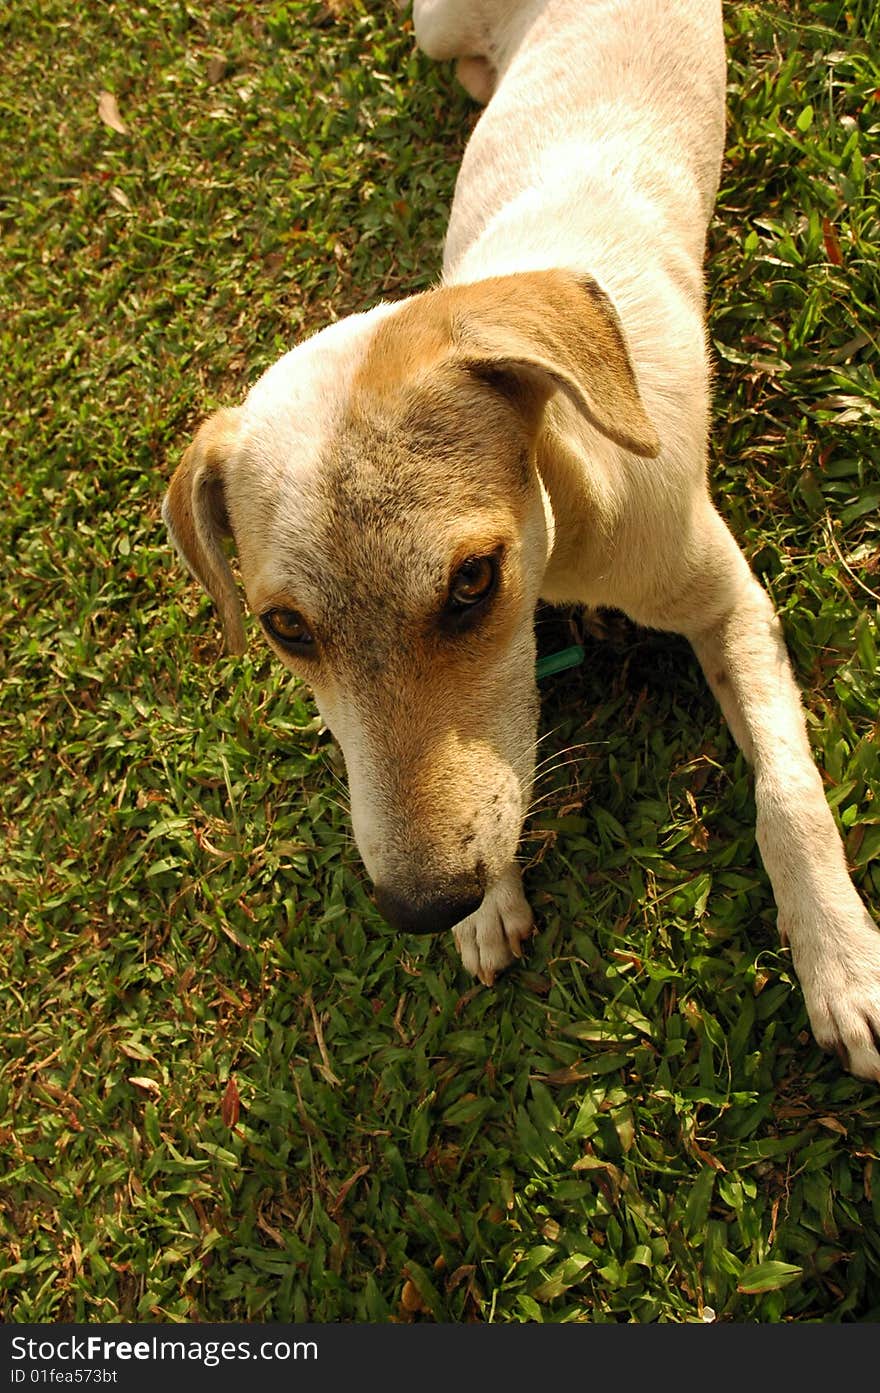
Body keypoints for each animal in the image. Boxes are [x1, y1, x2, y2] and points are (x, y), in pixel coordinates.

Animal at [163, 0, 880, 1080]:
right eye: (287, 630)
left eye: (472, 580)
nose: (423, 907)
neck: (570, 513)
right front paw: (487, 907)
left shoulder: (731, 602)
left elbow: (787, 790)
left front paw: (841, 960)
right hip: (431, 25)